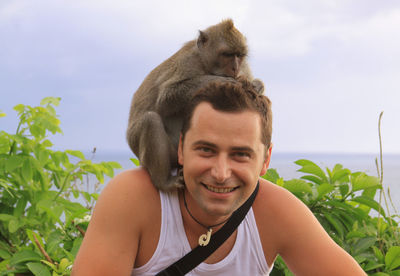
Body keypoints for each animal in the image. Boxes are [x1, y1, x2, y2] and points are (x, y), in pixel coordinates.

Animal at [126, 18, 264, 191]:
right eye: (227, 55)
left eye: (239, 55)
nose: (235, 67)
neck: (205, 64)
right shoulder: (188, 62)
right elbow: (166, 98)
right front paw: (220, 80)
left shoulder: (244, 66)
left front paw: (256, 85)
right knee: (150, 120)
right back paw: (163, 181)